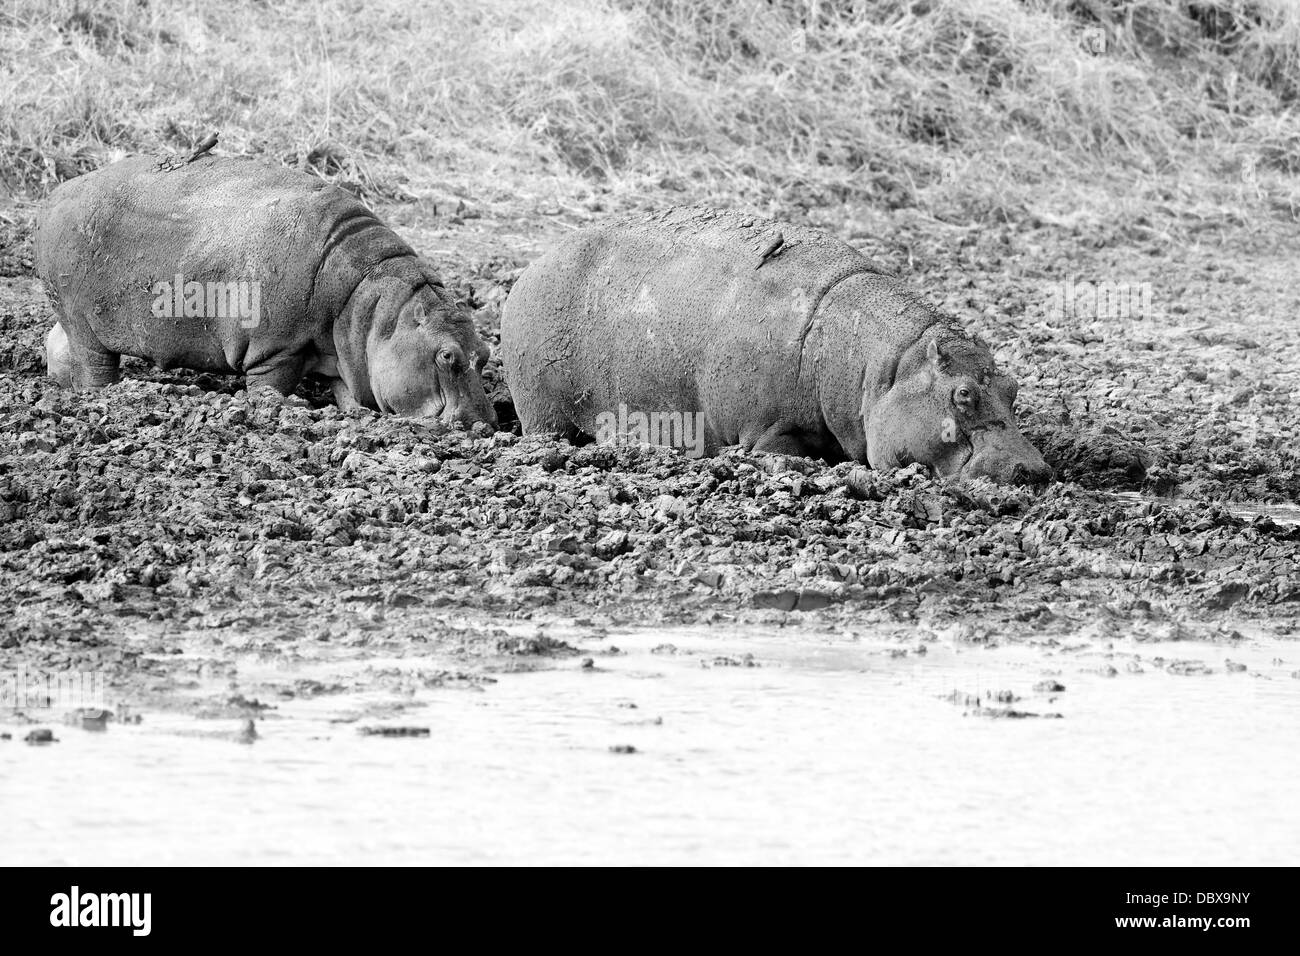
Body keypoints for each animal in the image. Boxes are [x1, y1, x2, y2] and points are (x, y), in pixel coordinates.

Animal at [35, 156, 493, 426]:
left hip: (74, 319)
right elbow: (271, 388)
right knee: (94, 366)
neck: (379, 307)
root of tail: (59, 192)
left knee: (59, 344)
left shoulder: (345, 356)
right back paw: (103, 396)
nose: (485, 424)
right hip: (85, 322)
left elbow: (349, 394)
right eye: (447, 356)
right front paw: (275, 411)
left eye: (487, 353)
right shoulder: (276, 350)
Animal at [501, 205, 1050, 481]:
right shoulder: (766, 428)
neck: (884, 365)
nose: (1034, 470)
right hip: (543, 413)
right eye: (963, 395)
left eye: (1013, 387)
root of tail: (533, 264)